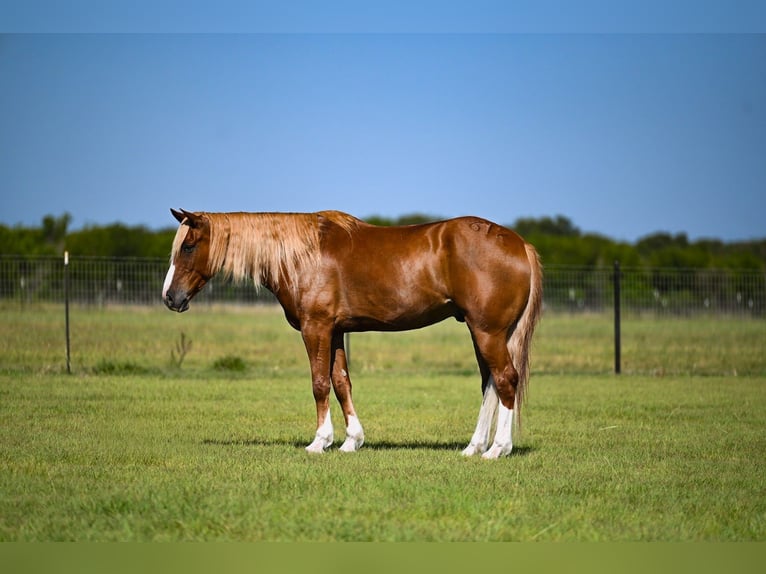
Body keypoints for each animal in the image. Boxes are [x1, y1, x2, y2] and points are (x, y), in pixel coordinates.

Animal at [162, 208, 542, 459]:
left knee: (505, 379)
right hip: (485, 333)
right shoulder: (336, 331)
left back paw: (498, 449)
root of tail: (519, 244)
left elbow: (319, 383)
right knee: (490, 384)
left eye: (188, 246)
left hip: (488, 332)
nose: (170, 297)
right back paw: (474, 447)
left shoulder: (315, 328)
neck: (304, 255)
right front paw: (351, 441)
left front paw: (320, 441)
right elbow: (341, 382)